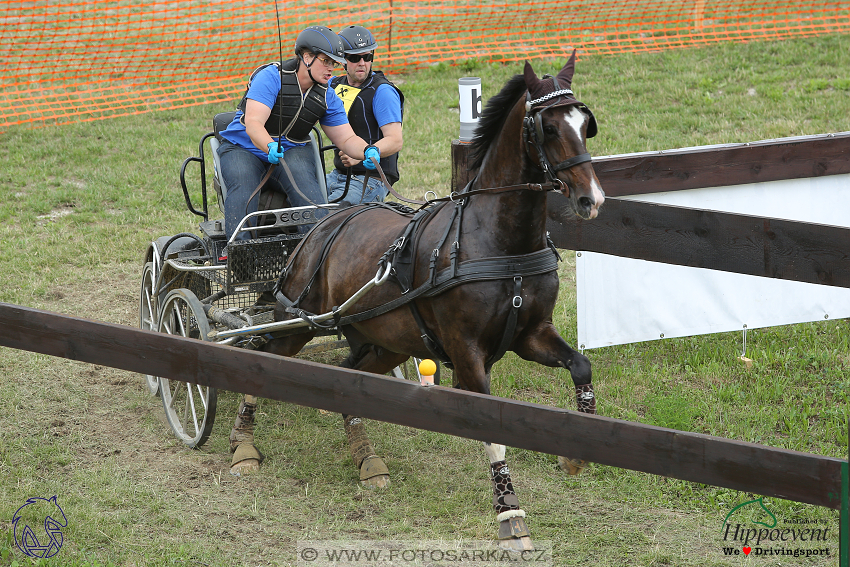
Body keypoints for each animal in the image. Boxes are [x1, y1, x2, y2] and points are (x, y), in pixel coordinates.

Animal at [230, 53, 604, 552]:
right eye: (547, 128)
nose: (591, 199)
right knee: (262, 360)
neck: (501, 242)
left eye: (585, 123)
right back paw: (242, 444)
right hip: (299, 320)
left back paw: (366, 458)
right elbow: (493, 432)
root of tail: (321, 223)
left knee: (350, 379)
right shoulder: (467, 353)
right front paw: (510, 514)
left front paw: (575, 456)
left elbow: (580, 365)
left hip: (387, 339)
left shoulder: (532, 334)